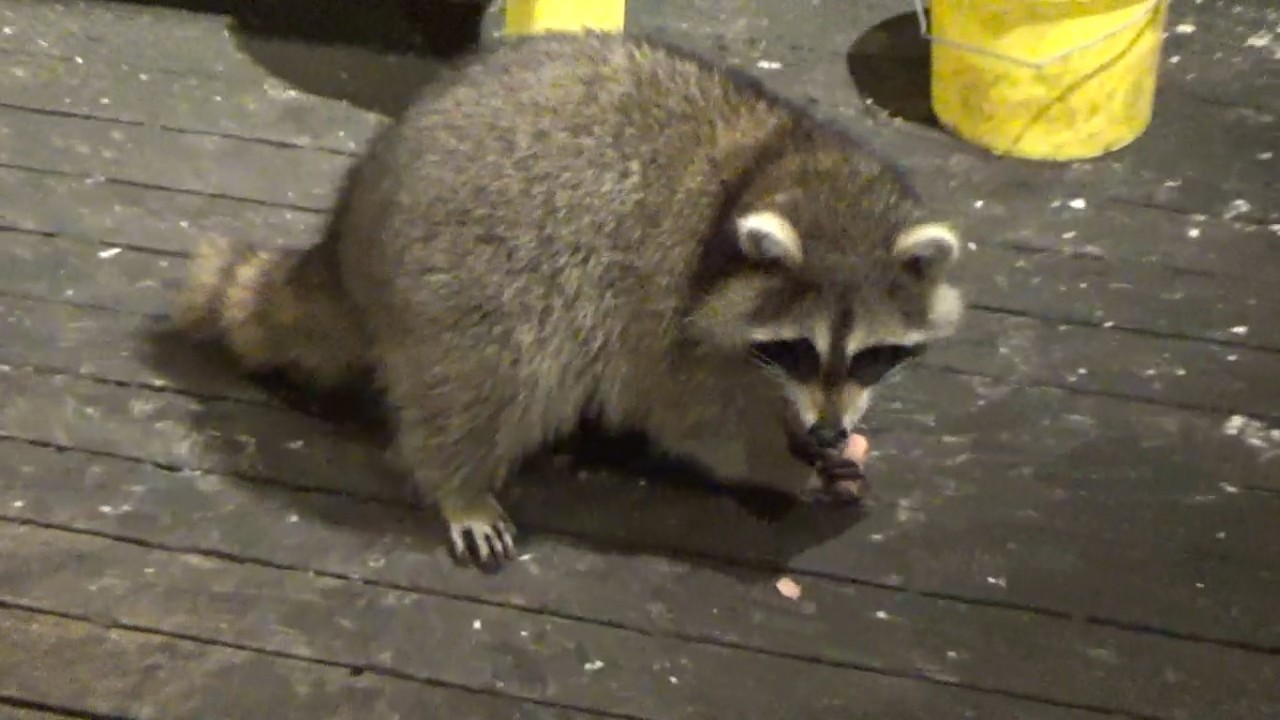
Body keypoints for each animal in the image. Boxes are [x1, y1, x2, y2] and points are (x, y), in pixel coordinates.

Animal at [171, 32, 965, 566]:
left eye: (871, 359)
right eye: (800, 348)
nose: (829, 432)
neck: (777, 165)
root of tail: (348, 233)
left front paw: (807, 437)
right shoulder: (666, 308)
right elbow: (695, 417)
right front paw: (781, 463)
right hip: (464, 268)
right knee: (495, 374)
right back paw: (457, 479)